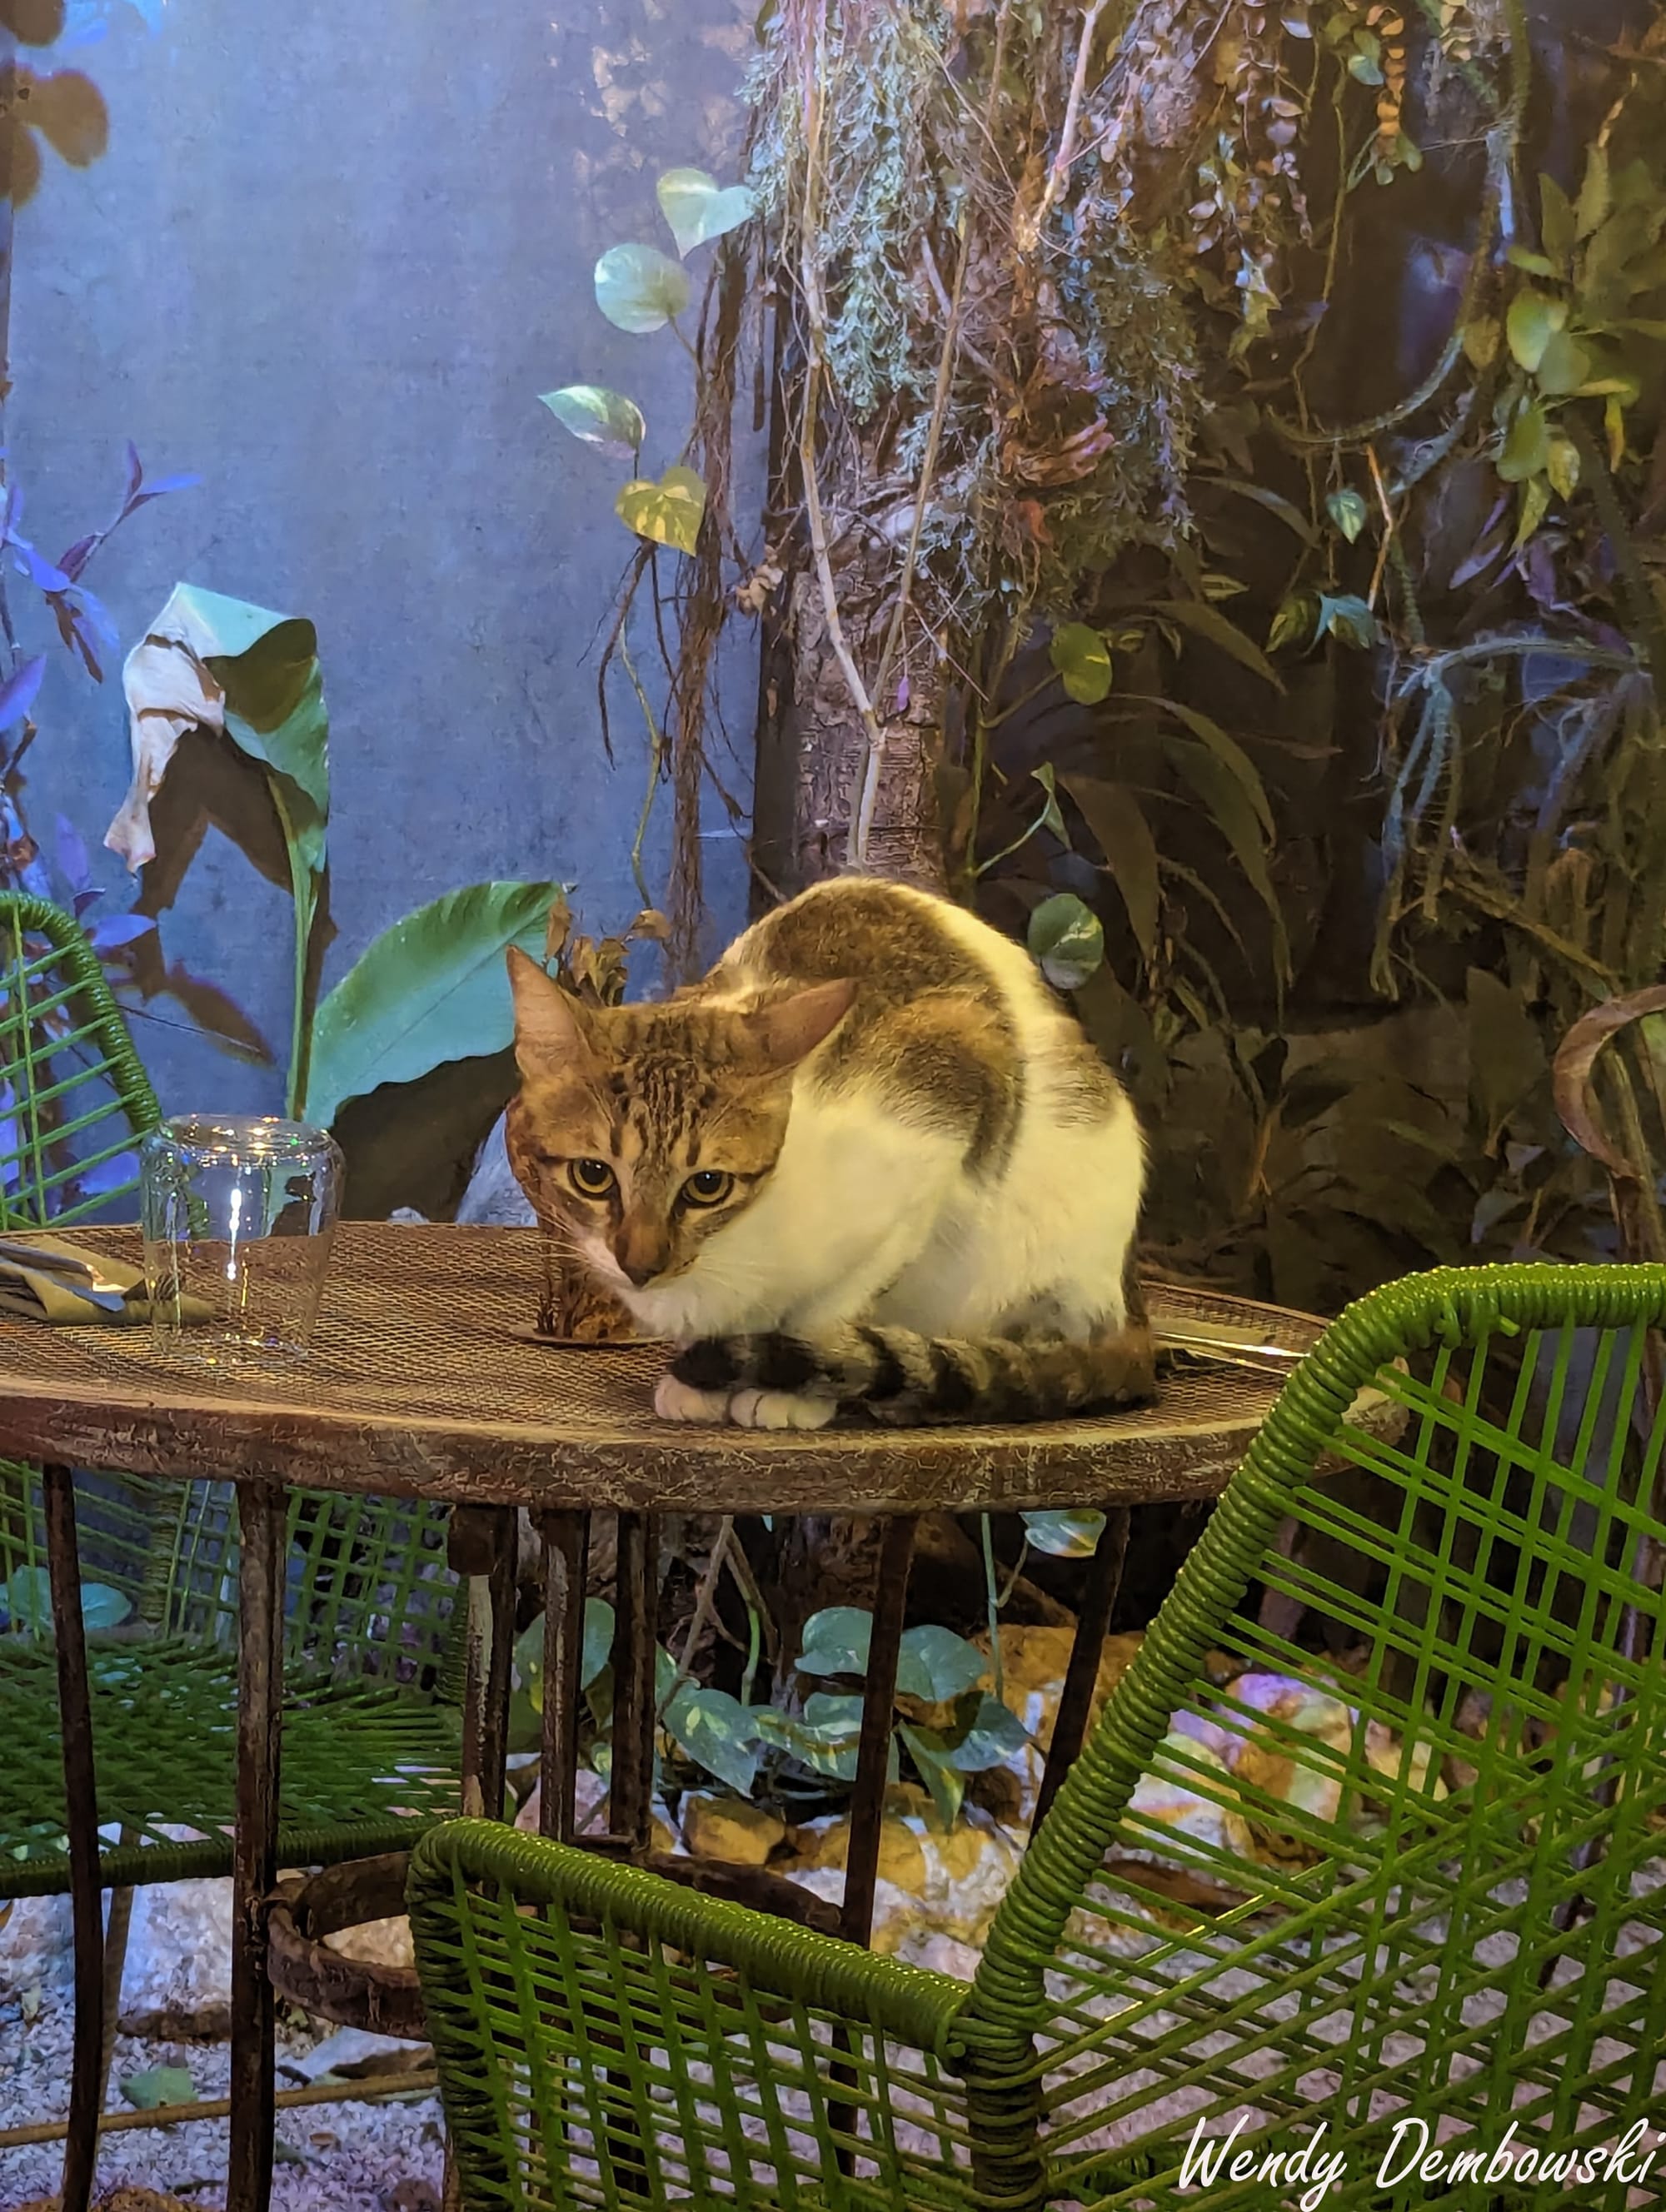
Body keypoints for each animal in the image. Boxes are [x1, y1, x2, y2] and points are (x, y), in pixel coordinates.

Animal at [504, 880, 1159, 1433]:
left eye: (707, 1185)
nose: (641, 1265)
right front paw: (704, 1379)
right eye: (593, 1175)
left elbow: (834, 1303)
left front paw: (792, 1389)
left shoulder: (946, 1104)